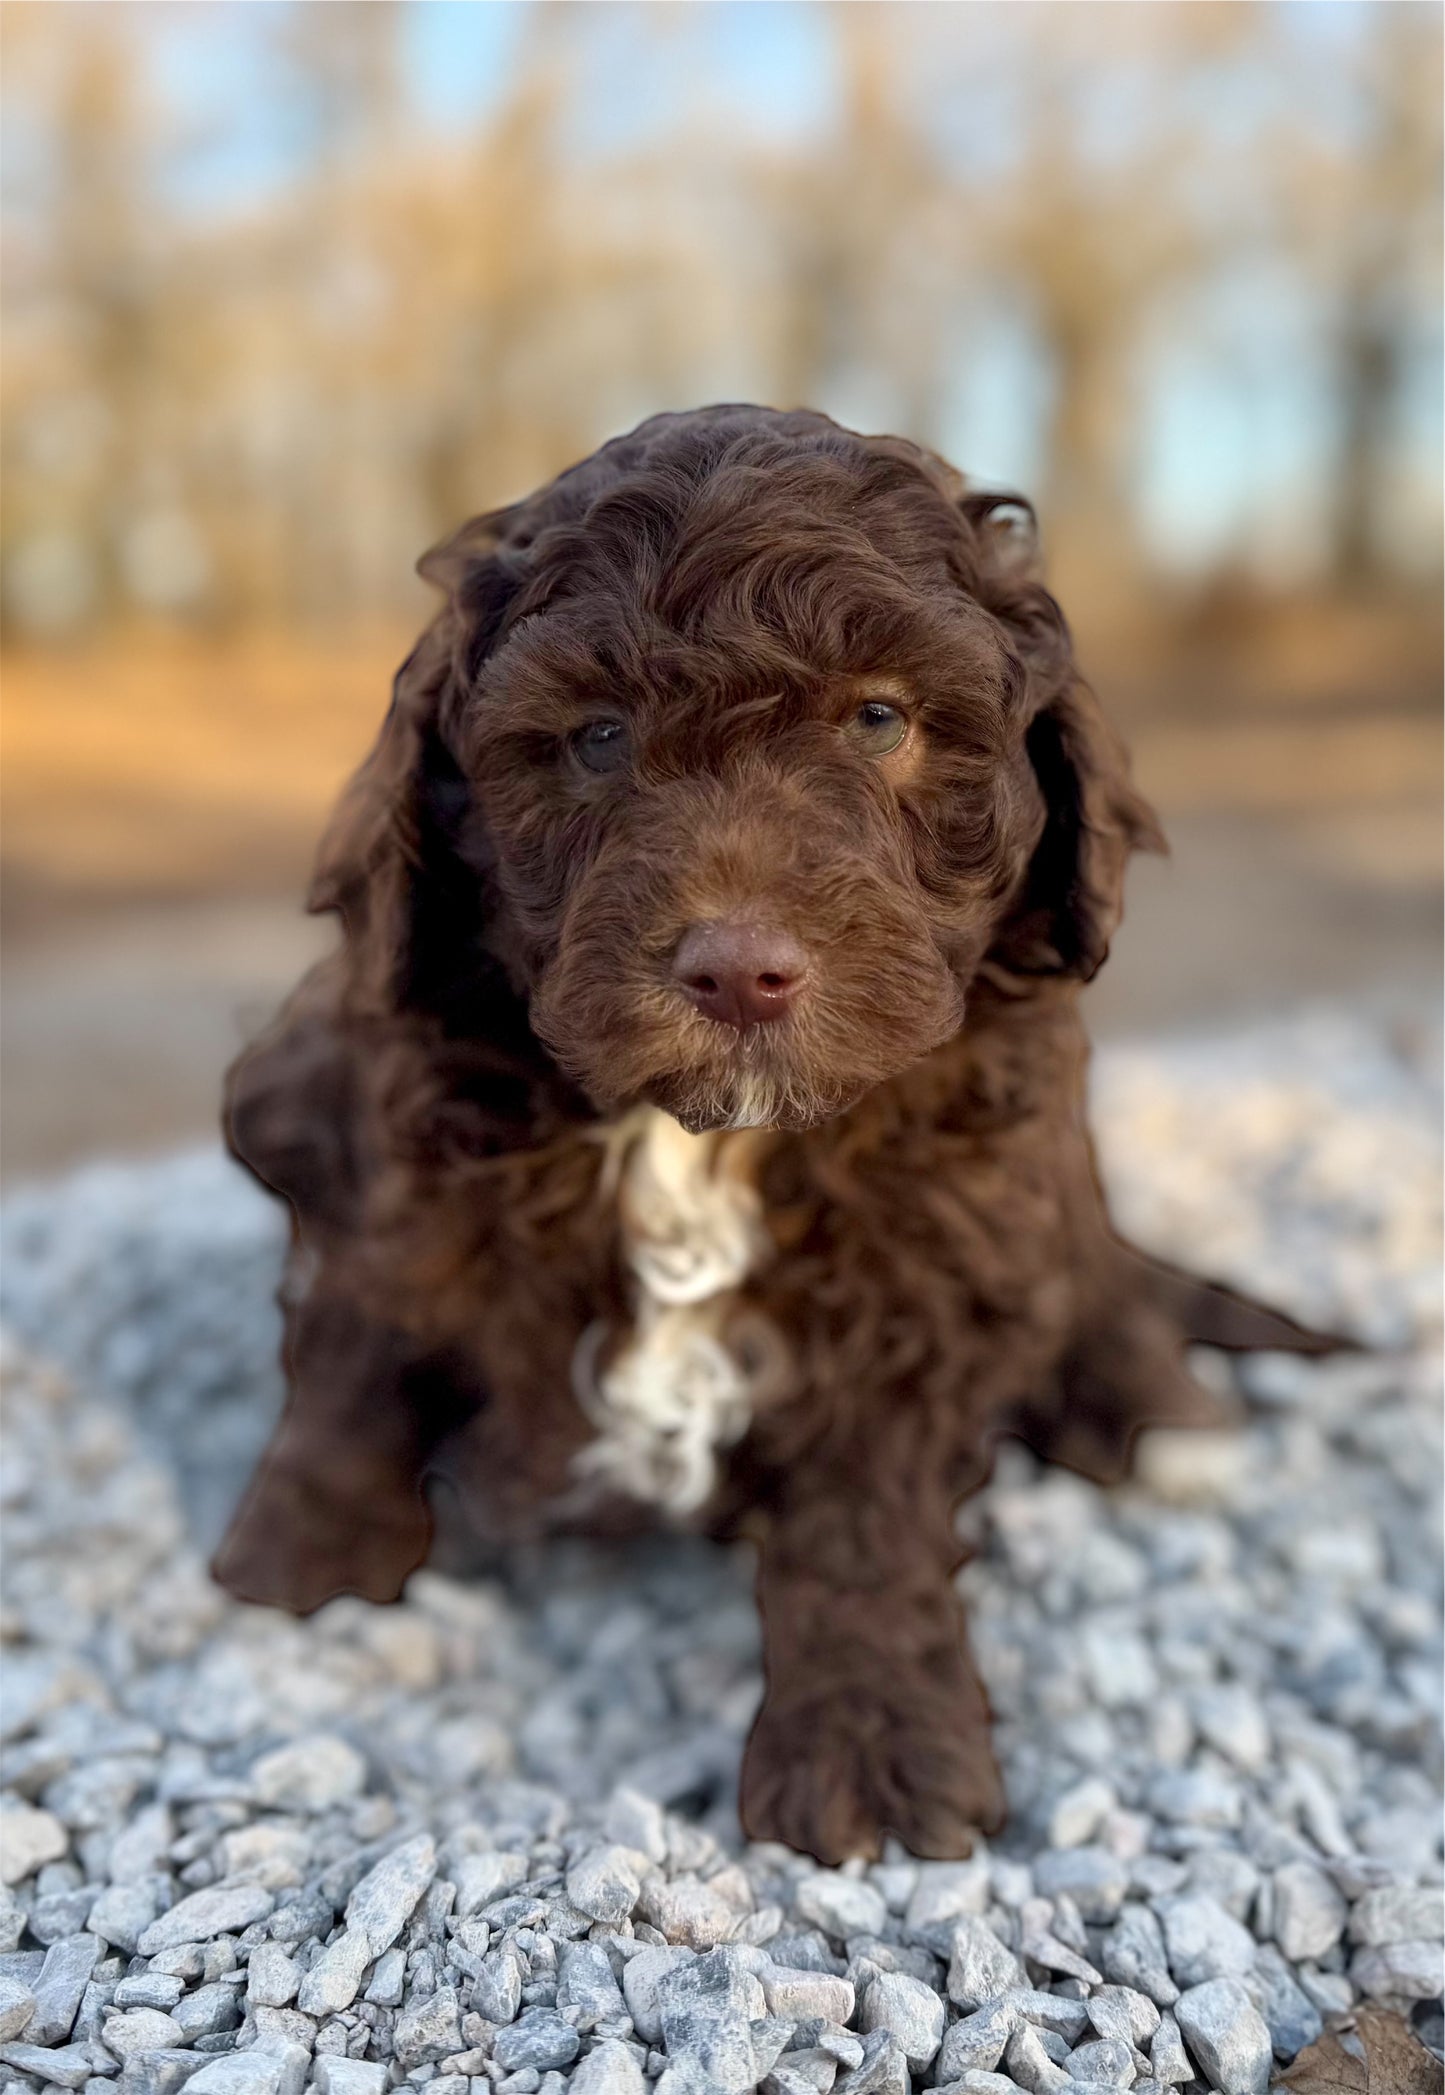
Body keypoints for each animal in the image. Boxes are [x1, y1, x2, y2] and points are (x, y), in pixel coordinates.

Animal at [211, 404, 1331, 1868]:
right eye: (598, 735)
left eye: (880, 718)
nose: (739, 968)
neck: (691, 1139)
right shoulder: (382, 1136)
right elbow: (359, 1347)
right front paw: (300, 1563)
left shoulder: (934, 1246)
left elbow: (860, 1520)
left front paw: (868, 1748)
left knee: (1098, 1270)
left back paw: (1158, 1412)